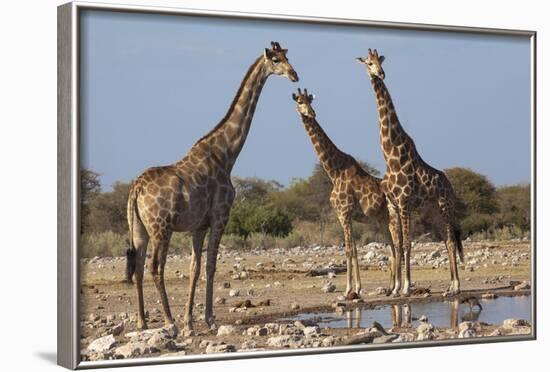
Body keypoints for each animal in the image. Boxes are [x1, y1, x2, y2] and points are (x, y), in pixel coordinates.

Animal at [125, 42, 300, 332]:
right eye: (276, 59)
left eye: (287, 56)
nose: (294, 75)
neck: (226, 154)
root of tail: (135, 189)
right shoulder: (220, 218)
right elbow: (211, 267)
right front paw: (208, 319)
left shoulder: (199, 226)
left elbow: (195, 268)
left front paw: (190, 320)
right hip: (162, 228)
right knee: (155, 267)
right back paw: (169, 321)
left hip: (139, 228)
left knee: (138, 266)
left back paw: (142, 321)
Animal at [358, 49, 466, 298]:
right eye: (368, 63)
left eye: (380, 62)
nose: (381, 74)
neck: (390, 155)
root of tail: (450, 185)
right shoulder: (393, 205)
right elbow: (398, 245)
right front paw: (397, 288)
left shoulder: (405, 202)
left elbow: (408, 244)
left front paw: (407, 287)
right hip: (433, 211)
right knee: (446, 241)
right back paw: (449, 285)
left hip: (445, 206)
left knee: (450, 240)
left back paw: (456, 286)